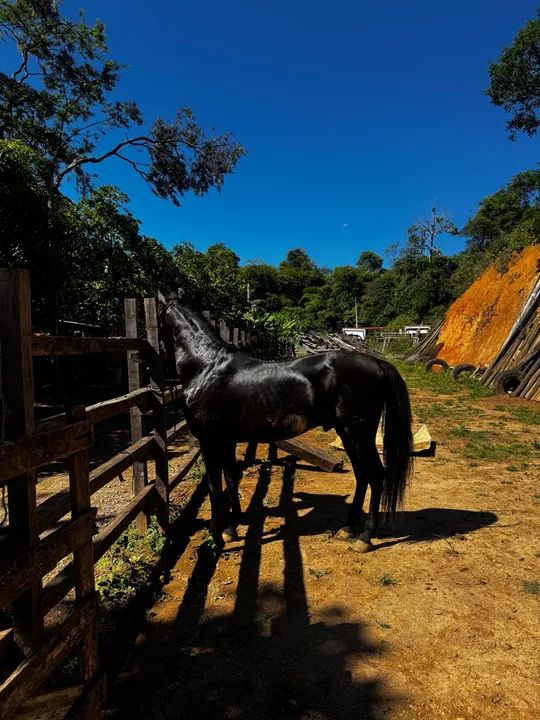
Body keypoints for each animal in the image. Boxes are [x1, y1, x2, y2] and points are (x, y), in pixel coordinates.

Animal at [157, 290, 413, 552]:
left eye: (158, 318)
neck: (207, 367)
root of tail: (378, 364)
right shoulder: (227, 441)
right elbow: (230, 478)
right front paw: (231, 529)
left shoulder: (210, 442)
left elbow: (214, 487)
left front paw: (215, 539)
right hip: (347, 434)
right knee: (362, 475)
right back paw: (347, 529)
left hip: (359, 433)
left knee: (376, 475)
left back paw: (364, 538)